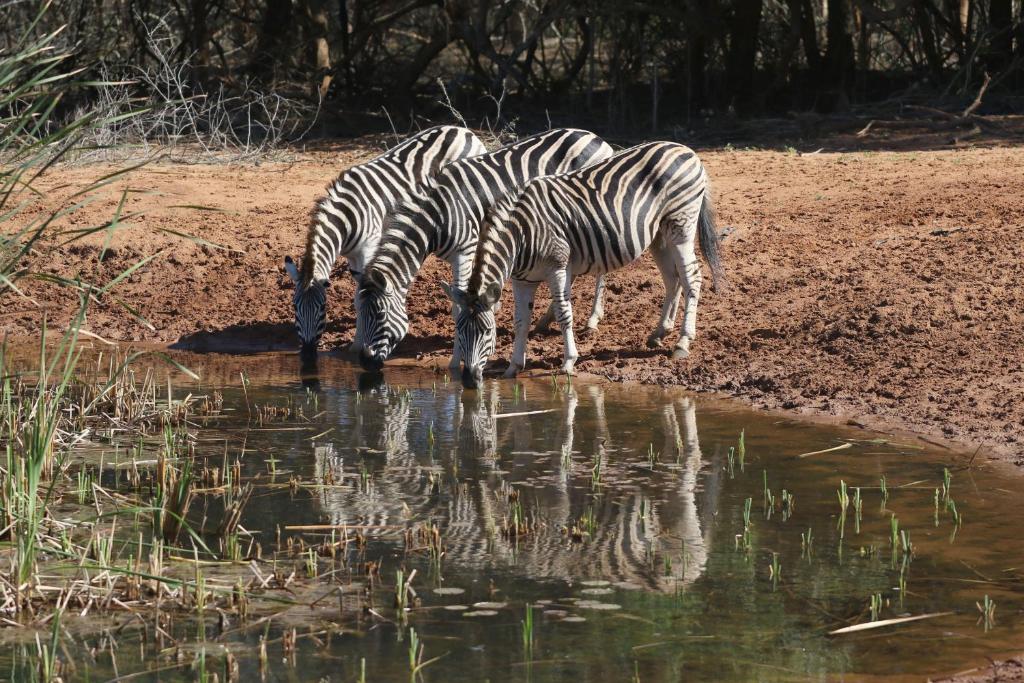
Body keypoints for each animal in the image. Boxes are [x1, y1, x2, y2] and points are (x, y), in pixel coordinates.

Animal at [282, 124, 485, 362]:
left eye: (322, 307)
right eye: (294, 307)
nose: (306, 354)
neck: (347, 216)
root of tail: (461, 129)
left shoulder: (369, 249)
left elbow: (360, 296)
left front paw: (357, 345)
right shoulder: (352, 255)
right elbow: (358, 299)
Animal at [356, 127, 610, 374]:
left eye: (380, 315)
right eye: (358, 313)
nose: (364, 363)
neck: (438, 214)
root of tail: (595, 137)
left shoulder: (465, 251)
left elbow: (457, 307)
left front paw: (454, 361)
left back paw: (592, 320)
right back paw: (546, 319)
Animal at [452, 141, 724, 387]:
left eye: (487, 332)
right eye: (458, 330)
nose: (469, 382)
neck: (520, 236)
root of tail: (686, 149)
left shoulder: (558, 267)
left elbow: (564, 313)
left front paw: (568, 362)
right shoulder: (522, 280)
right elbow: (520, 321)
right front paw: (513, 367)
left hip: (681, 226)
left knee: (692, 279)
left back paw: (682, 342)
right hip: (659, 235)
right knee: (672, 278)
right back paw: (659, 333)